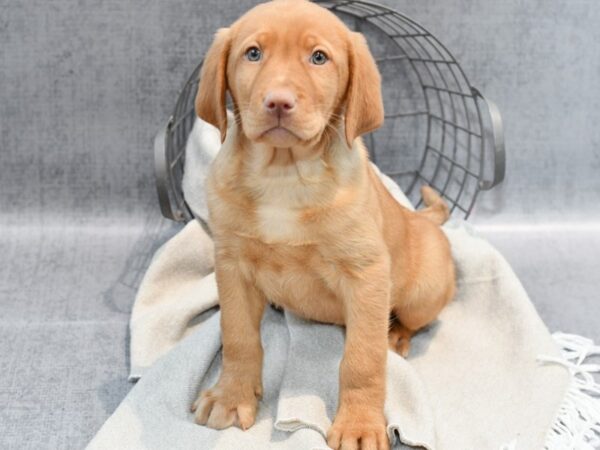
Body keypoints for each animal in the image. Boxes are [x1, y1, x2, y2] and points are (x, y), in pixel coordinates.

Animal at [190, 1, 452, 448]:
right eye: (253, 53)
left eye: (318, 58)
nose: (278, 102)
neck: (283, 175)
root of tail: (419, 218)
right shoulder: (232, 265)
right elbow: (237, 336)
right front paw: (231, 395)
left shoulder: (366, 275)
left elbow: (362, 360)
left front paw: (359, 425)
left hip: (425, 291)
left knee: (411, 320)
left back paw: (396, 334)